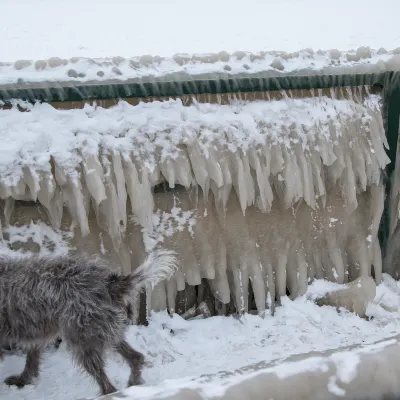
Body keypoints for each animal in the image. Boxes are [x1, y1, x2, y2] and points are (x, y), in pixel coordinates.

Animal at [0, 248, 177, 396]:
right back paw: (134, 382)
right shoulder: (36, 332)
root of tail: (110, 284)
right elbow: (32, 358)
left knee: (107, 384)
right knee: (135, 357)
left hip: (84, 338)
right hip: (103, 330)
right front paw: (23, 381)